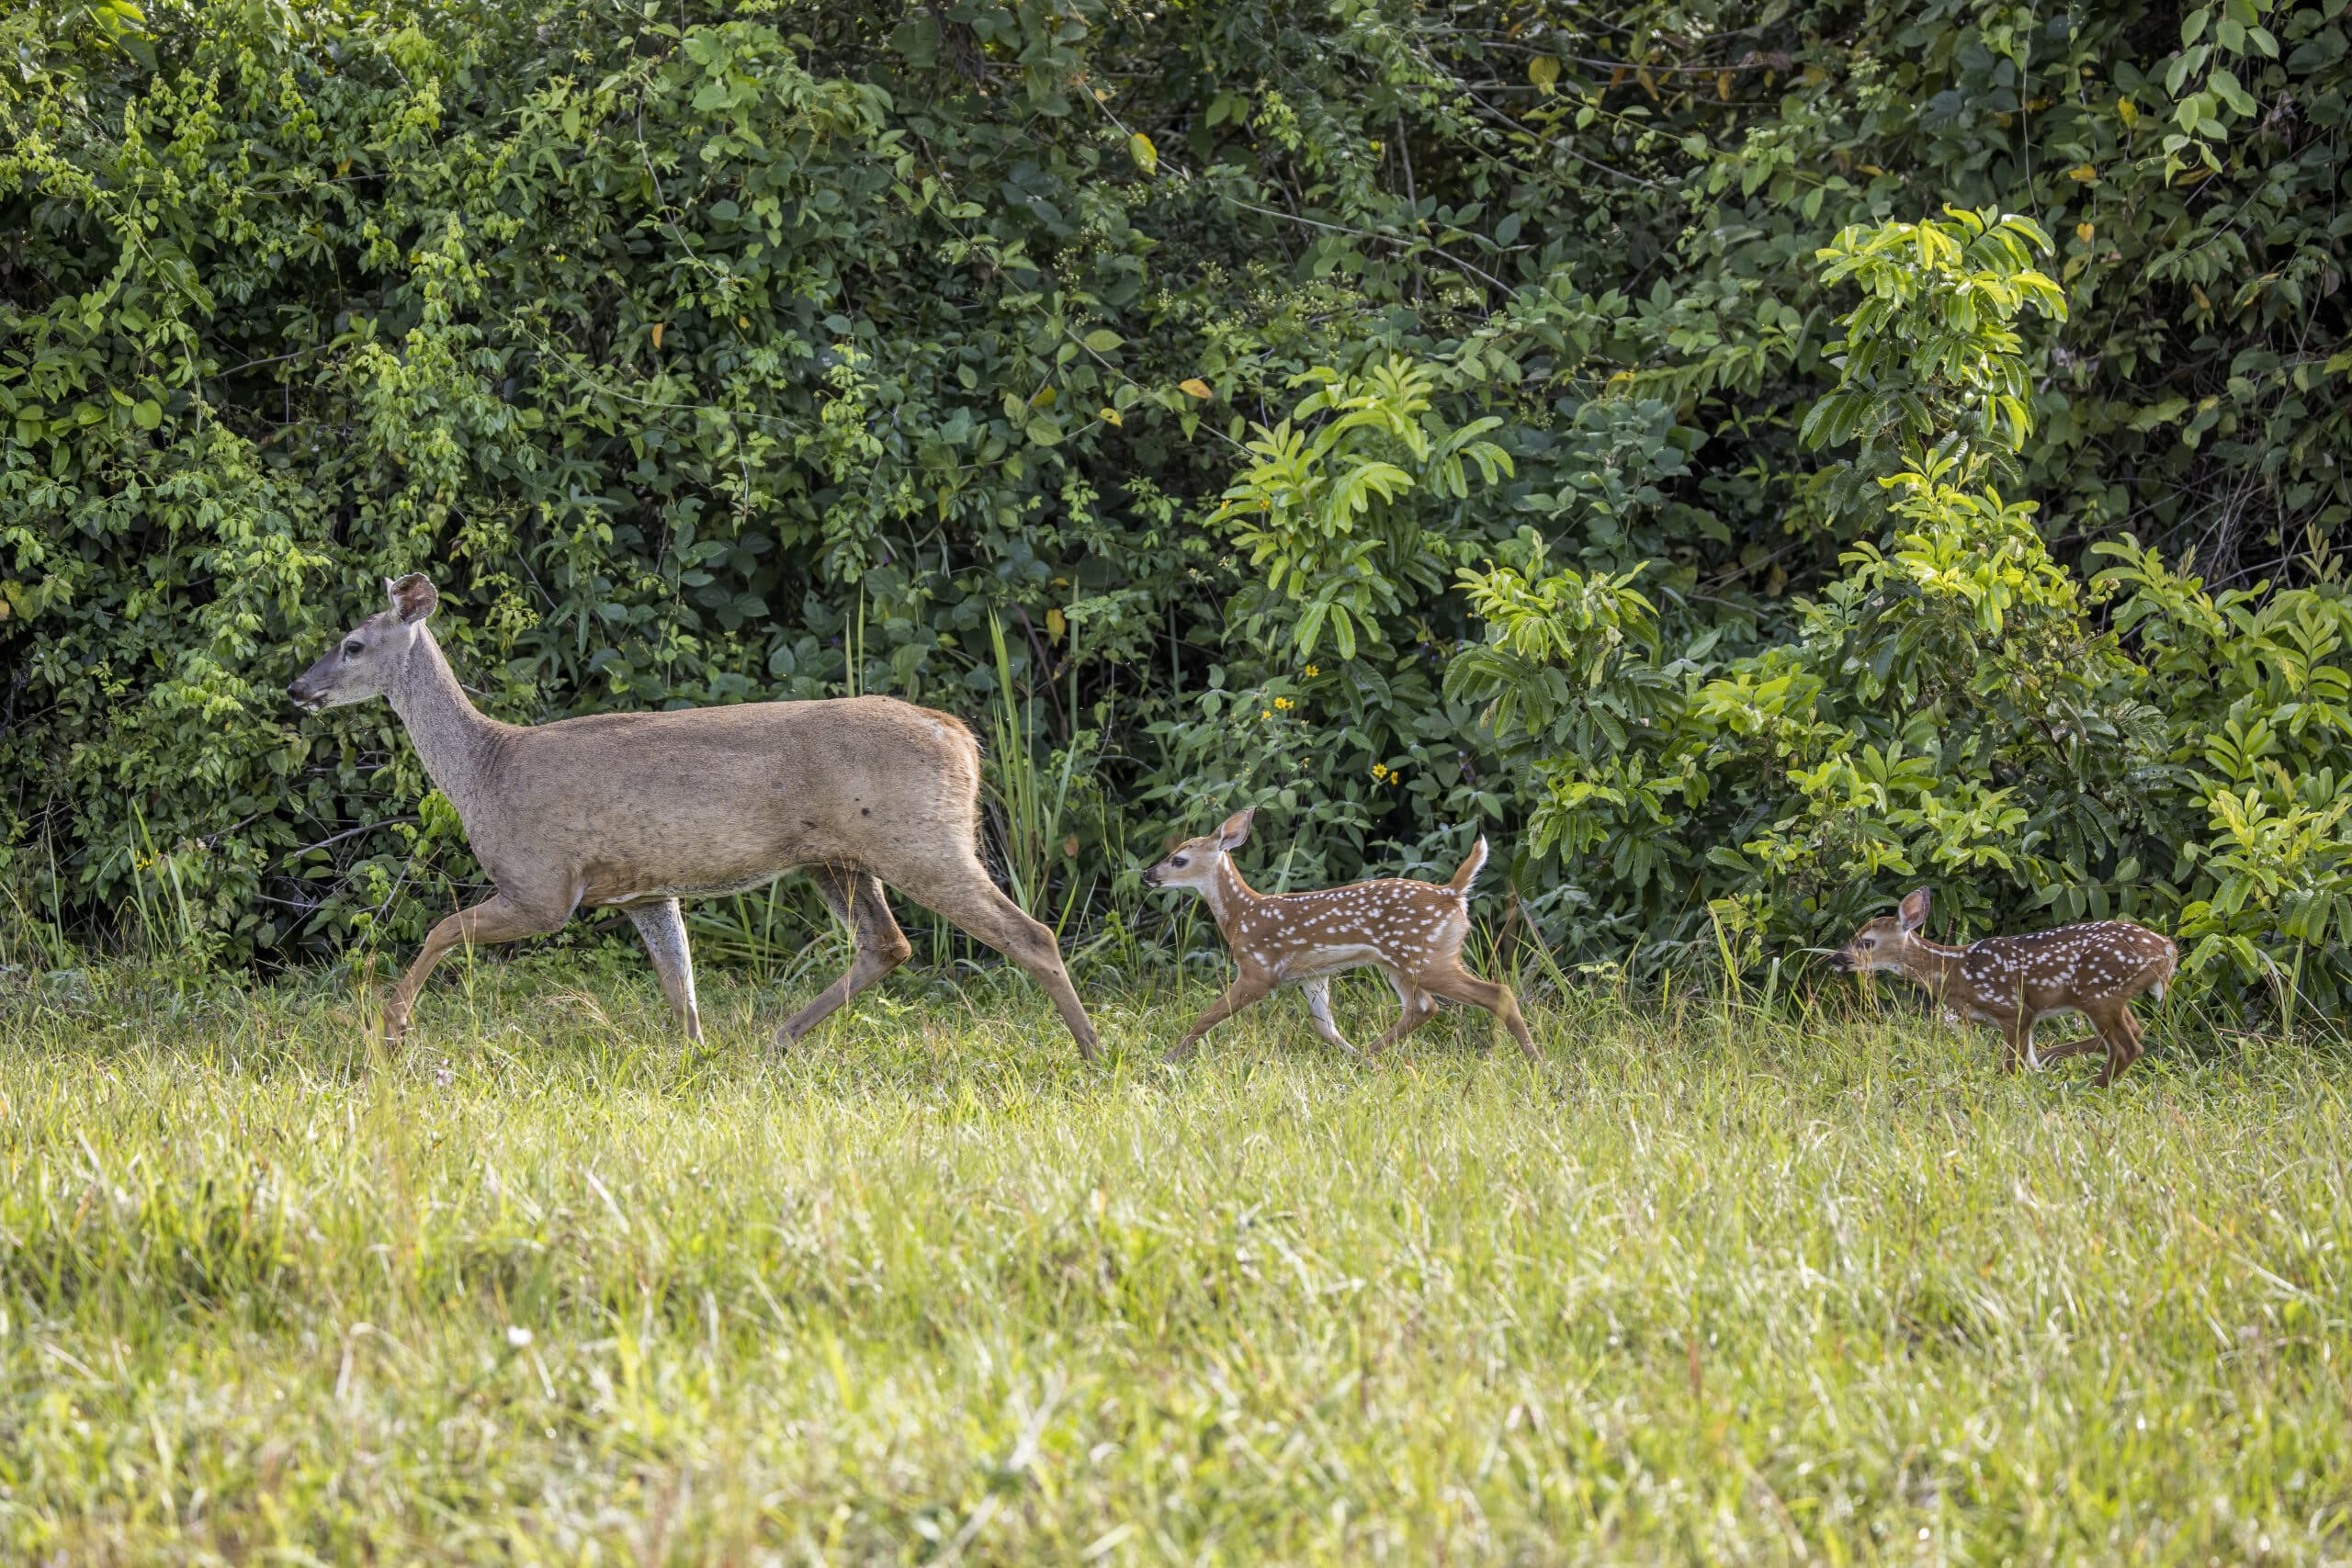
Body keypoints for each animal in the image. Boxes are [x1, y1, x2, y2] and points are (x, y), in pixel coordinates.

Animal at [285, 573, 1100, 1058]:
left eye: (351, 644)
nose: (297, 688)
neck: (486, 768)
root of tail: (959, 734)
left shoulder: (543, 885)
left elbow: (440, 928)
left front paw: (391, 1027)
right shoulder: (644, 889)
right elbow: (680, 986)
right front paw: (693, 1054)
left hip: (919, 840)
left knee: (1030, 933)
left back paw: (1093, 1052)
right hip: (837, 856)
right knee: (887, 944)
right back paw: (775, 1038)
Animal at [1140, 807, 1539, 1064]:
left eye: (1179, 860)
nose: (1147, 874)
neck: (1241, 916)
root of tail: (1452, 893)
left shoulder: (1259, 970)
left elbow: (1208, 1015)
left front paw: (1166, 1058)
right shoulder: (1312, 976)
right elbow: (1325, 1028)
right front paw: (1355, 1057)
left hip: (1426, 956)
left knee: (1496, 992)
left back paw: (1537, 1062)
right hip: (1402, 963)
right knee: (1424, 1006)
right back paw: (1367, 1058)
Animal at [1828, 887, 2177, 1086]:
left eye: (1866, 942)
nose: (1835, 959)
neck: (1956, 972)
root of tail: (2167, 950)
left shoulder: (2013, 1009)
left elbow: (2012, 1067)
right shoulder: (2022, 1017)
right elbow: (2024, 1061)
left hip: (2099, 993)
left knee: (2127, 1047)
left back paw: (2090, 1088)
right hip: (2113, 997)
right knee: (2136, 1032)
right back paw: (2056, 1061)